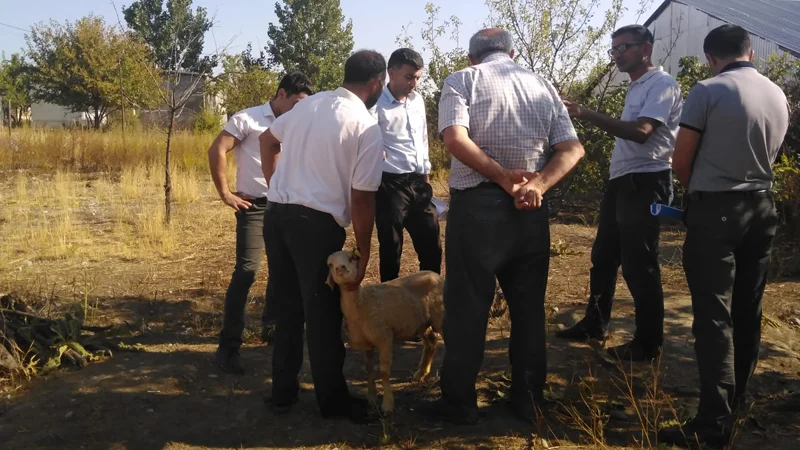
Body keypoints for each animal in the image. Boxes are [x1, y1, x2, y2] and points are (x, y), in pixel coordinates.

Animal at [328, 248, 446, 414]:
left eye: (351, 258)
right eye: (330, 264)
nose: (340, 268)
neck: (362, 303)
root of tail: (434, 274)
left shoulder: (384, 338)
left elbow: (383, 371)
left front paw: (387, 404)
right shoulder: (367, 342)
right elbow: (369, 369)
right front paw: (371, 398)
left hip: (440, 317)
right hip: (421, 321)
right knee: (431, 341)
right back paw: (420, 373)